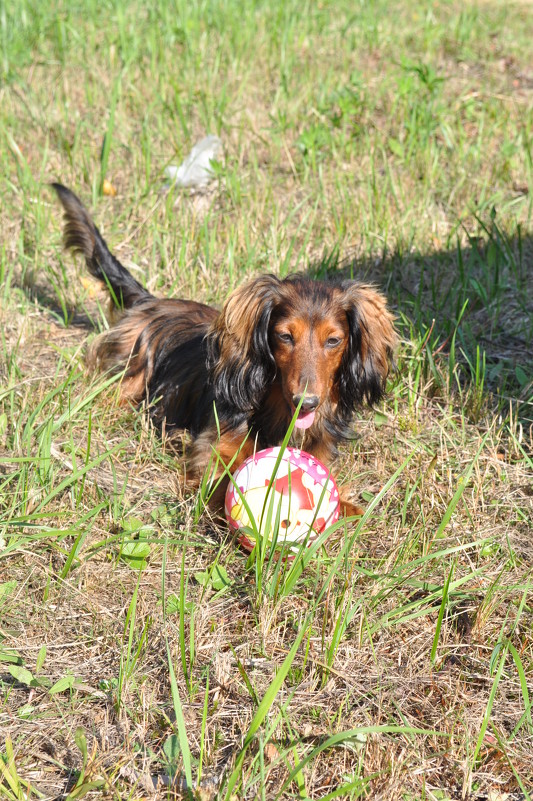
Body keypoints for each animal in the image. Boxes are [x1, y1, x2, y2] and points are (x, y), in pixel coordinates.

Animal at [54, 183, 396, 512]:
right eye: (285, 336)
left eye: (333, 340)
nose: (307, 403)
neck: (277, 413)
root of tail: (148, 302)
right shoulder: (215, 448)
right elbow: (219, 481)